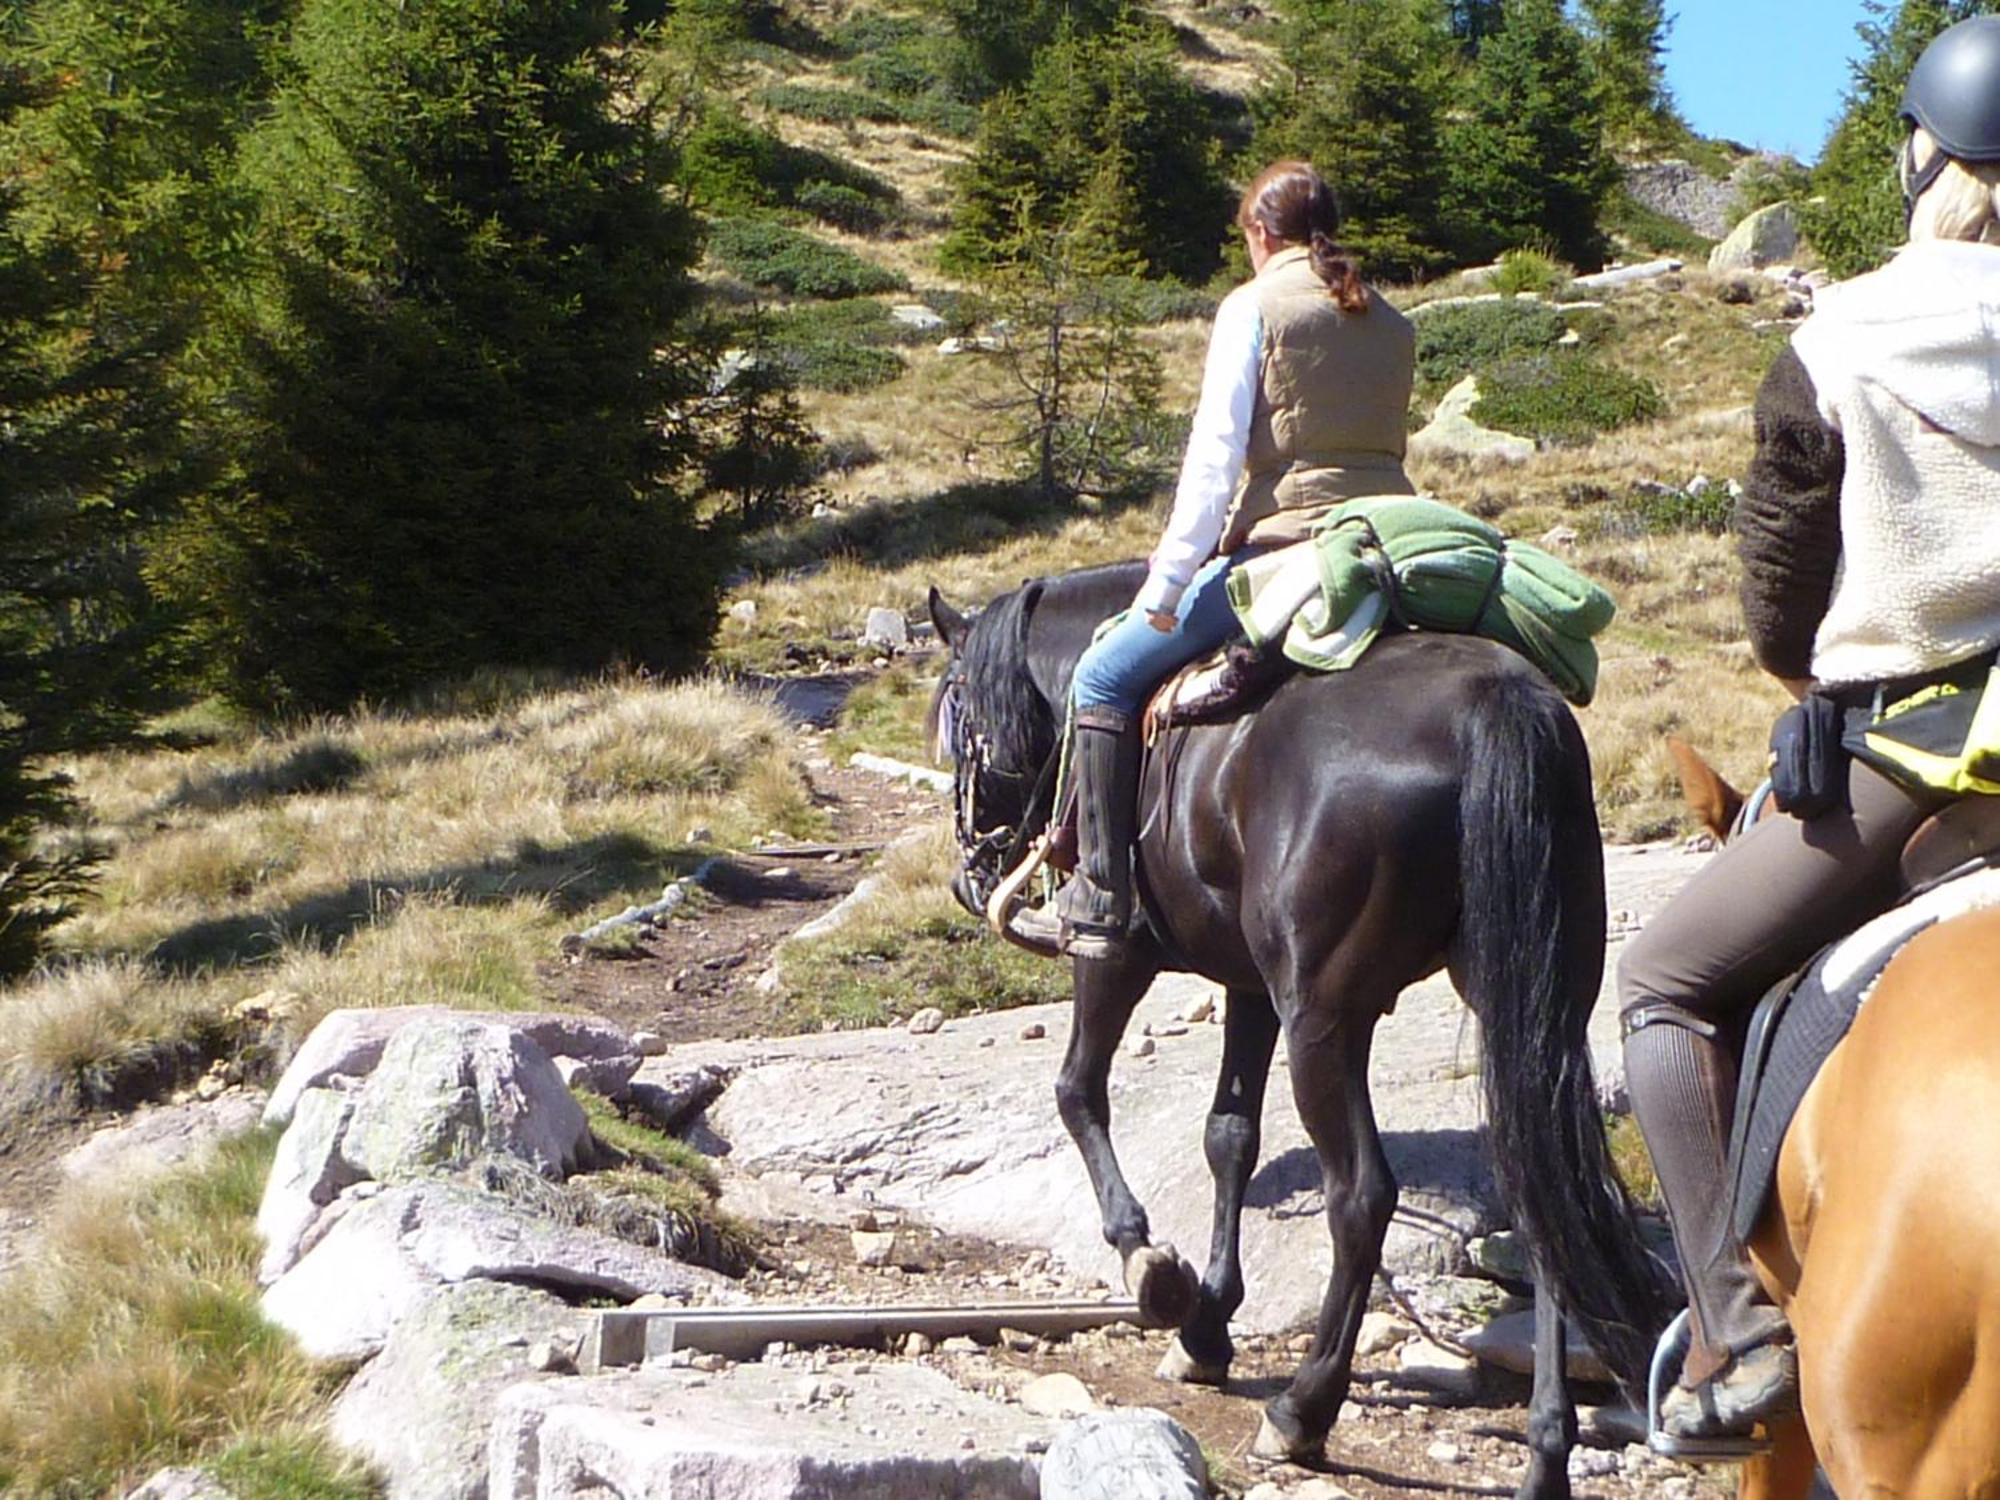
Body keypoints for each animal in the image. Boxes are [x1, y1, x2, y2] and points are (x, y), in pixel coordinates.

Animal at [928, 568, 1664, 1500]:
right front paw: (1206, 1325)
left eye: (957, 717)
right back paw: (1544, 1454)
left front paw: (1152, 1268)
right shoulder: (1248, 985)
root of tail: (1491, 707)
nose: (970, 868)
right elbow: (1229, 1136)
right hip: (1523, 1011)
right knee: (1541, 1191)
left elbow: (1077, 1091)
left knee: (1361, 1198)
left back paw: (1302, 1411)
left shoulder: (1117, 953)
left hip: (1323, 1020)